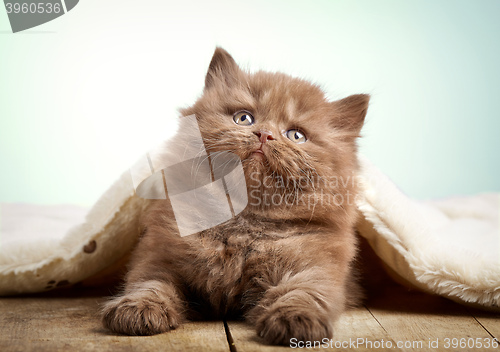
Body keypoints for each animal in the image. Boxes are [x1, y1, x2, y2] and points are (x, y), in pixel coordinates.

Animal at [101, 48, 370, 346]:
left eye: (296, 135)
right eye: (244, 118)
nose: (265, 134)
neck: (243, 222)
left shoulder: (318, 266)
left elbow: (304, 292)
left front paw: (295, 321)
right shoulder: (157, 255)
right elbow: (150, 283)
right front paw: (138, 309)